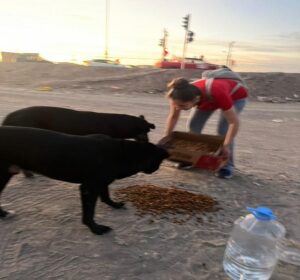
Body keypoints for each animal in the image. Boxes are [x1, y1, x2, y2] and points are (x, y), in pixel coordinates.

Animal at [0, 126, 169, 234]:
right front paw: (96, 229)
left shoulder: (101, 183)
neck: (121, 153)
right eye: (159, 161)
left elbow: (106, 196)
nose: (156, 169)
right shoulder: (89, 187)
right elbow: (89, 212)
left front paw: (114, 205)